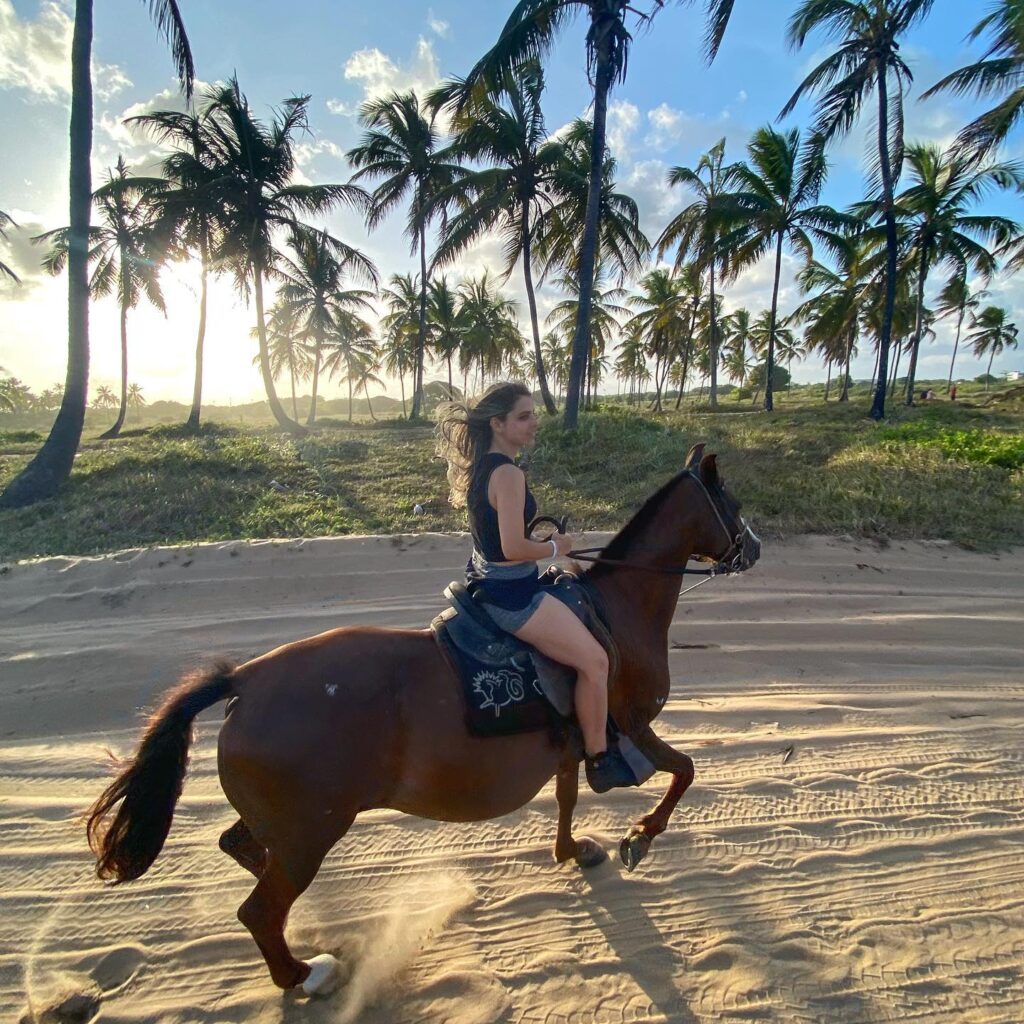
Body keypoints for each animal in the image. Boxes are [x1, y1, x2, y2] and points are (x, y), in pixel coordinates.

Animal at [90, 444, 761, 995]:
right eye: (730, 502)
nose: (754, 547)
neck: (614, 610)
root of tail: (246, 678)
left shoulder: (571, 741)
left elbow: (569, 796)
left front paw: (573, 850)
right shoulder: (631, 723)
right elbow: (684, 771)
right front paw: (639, 837)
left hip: (287, 824)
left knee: (244, 851)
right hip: (311, 831)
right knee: (259, 911)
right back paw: (303, 976)